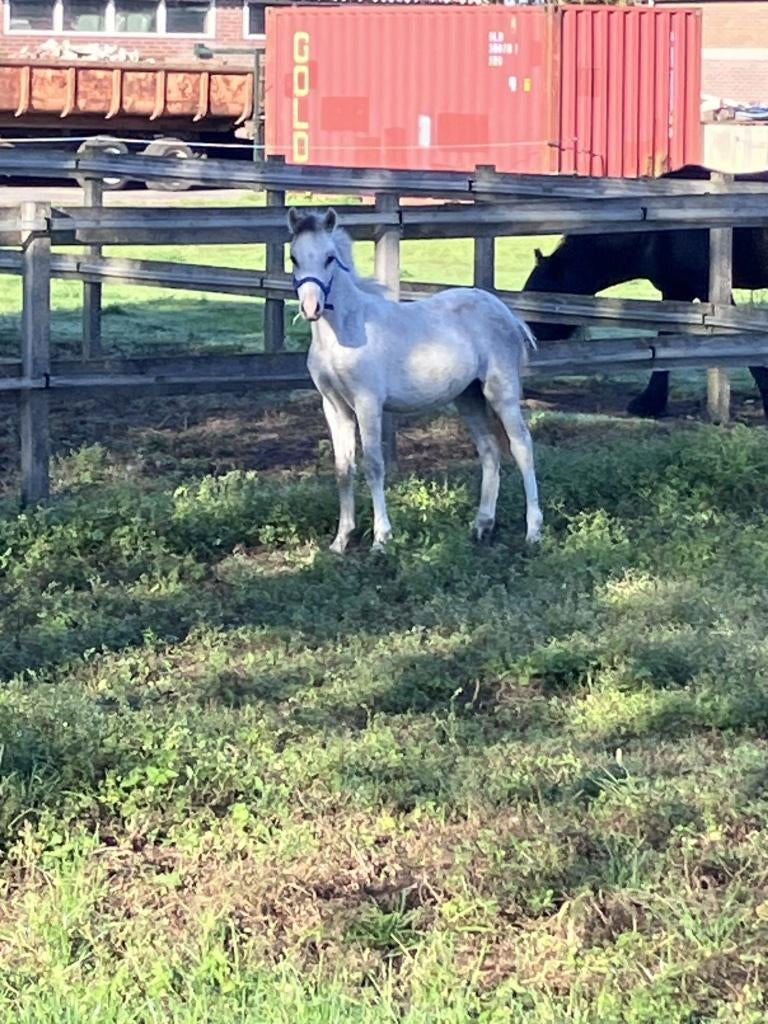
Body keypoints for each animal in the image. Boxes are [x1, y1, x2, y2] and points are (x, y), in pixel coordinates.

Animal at [288, 207, 542, 553]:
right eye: (294, 257)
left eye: (329, 258)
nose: (311, 308)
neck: (345, 331)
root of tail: (508, 314)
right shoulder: (334, 406)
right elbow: (343, 469)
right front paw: (340, 541)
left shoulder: (368, 403)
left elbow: (374, 465)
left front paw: (381, 540)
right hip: (468, 397)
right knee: (489, 449)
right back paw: (481, 526)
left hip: (500, 392)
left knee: (521, 446)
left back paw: (533, 531)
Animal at [523, 164, 768, 419]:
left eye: (535, 293)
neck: (655, 233)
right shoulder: (676, 291)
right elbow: (664, 341)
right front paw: (650, 402)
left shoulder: (708, 293)